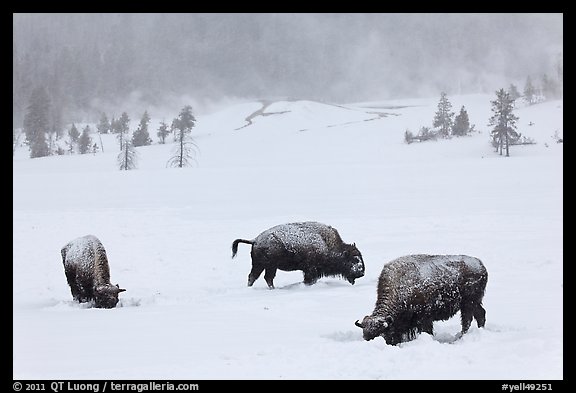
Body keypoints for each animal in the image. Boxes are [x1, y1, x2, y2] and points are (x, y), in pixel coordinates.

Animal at [231, 220, 362, 288]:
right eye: (354, 260)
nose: (361, 272)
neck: (327, 244)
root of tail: (255, 240)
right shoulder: (310, 270)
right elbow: (309, 279)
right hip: (267, 266)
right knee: (262, 277)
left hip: (264, 266)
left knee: (258, 277)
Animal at [356, 254, 486, 344]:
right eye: (365, 335)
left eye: (381, 334)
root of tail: (480, 264)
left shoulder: (424, 318)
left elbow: (427, 330)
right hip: (474, 303)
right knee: (480, 314)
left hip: (468, 304)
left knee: (467, 320)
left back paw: (461, 337)